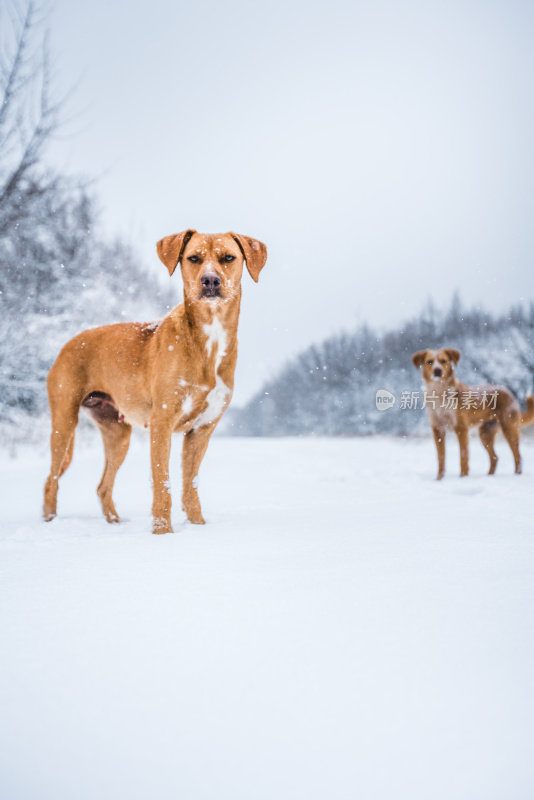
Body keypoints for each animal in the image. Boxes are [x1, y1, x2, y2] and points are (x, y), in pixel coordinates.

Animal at [43, 228, 268, 536]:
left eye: (228, 258)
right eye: (193, 258)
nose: (210, 280)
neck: (209, 338)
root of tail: (68, 343)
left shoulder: (202, 428)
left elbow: (190, 485)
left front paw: (198, 526)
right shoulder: (162, 422)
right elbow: (163, 484)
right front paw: (163, 533)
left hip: (117, 432)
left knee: (103, 486)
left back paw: (114, 523)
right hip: (64, 421)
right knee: (51, 480)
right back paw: (49, 523)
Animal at [414, 348, 534, 476]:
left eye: (443, 361)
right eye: (430, 362)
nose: (437, 371)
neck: (439, 394)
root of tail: (509, 392)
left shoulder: (461, 429)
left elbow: (463, 456)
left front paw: (463, 477)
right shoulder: (437, 430)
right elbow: (441, 458)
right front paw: (439, 479)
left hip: (509, 428)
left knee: (517, 456)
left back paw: (517, 474)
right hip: (485, 433)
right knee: (495, 457)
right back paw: (489, 476)